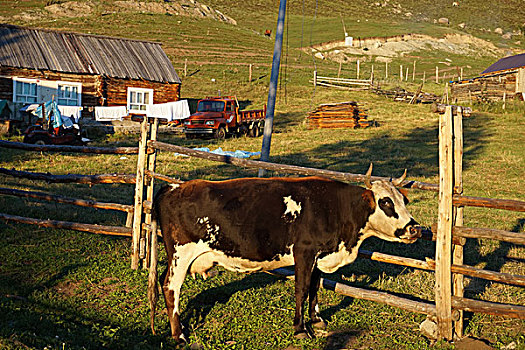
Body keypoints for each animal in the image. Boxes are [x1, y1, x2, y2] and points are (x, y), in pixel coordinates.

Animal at [149, 165, 420, 342]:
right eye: (385, 202)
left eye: (404, 201)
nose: (415, 228)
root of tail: (173, 187)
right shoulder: (304, 252)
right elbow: (302, 288)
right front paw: (300, 328)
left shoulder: (320, 256)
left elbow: (315, 287)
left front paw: (316, 320)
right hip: (181, 255)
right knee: (171, 287)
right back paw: (179, 335)